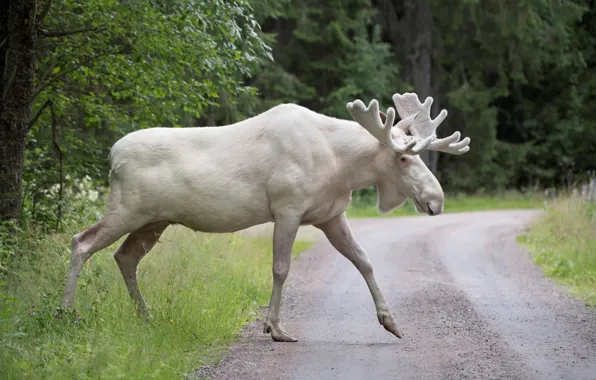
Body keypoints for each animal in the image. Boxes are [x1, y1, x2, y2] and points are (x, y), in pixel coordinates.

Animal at [60, 92, 470, 342]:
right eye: (403, 157)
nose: (436, 200)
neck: (342, 166)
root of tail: (112, 155)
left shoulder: (331, 215)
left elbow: (365, 261)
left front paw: (391, 321)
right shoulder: (287, 208)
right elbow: (281, 268)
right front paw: (275, 327)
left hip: (154, 220)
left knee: (124, 257)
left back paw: (146, 317)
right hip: (127, 209)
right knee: (81, 242)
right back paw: (67, 312)